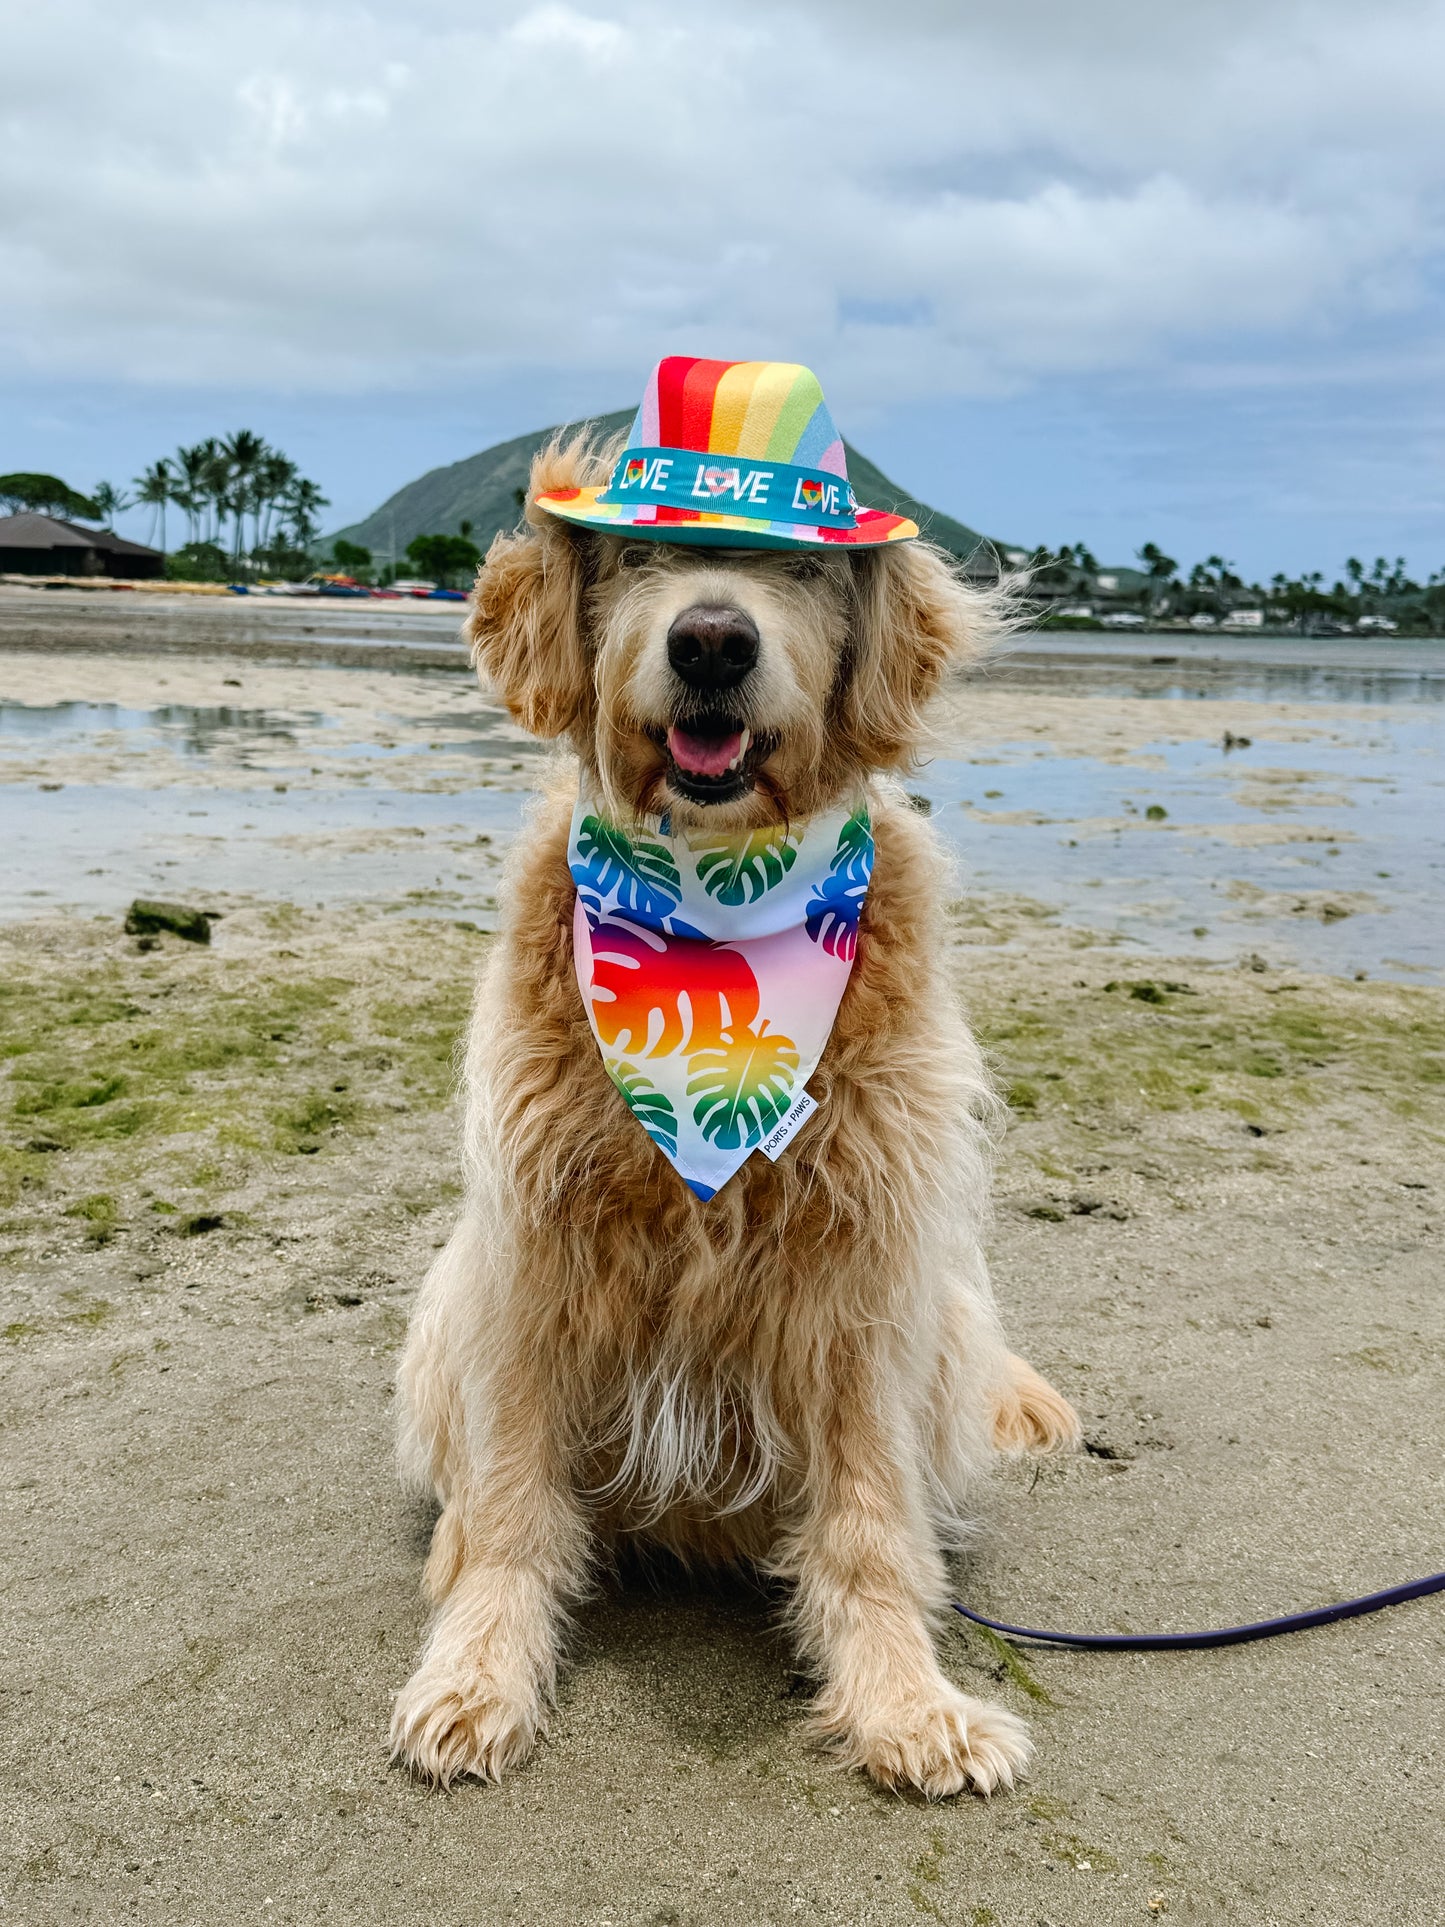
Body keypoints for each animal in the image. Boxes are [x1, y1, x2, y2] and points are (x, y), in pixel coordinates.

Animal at [391, 358, 1078, 1788]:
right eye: (643, 553)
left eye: (802, 569)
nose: (712, 641)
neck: (711, 907)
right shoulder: (531, 1256)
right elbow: (512, 1508)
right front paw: (477, 1671)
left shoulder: (860, 1272)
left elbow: (868, 1526)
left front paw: (903, 1702)